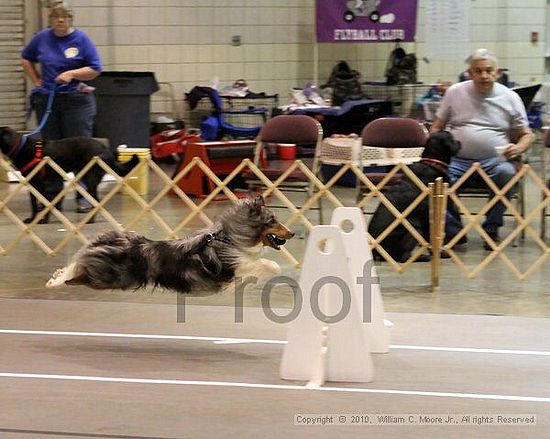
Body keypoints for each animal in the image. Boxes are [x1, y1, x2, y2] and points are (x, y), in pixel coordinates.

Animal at [0, 126, 140, 223]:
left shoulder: (39, 184)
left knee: (96, 201)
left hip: (89, 179)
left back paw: (90, 220)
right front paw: (35, 219)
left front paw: (42, 220)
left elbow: (41, 204)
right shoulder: (34, 184)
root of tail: (105, 149)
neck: (20, 146)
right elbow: (37, 204)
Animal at [368, 130, 464, 262]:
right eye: (452, 139)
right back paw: (421, 257)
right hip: (414, 229)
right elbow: (432, 238)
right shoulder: (428, 217)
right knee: (403, 257)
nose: (459, 142)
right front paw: (439, 253)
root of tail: (375, 252)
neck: (432, 164)